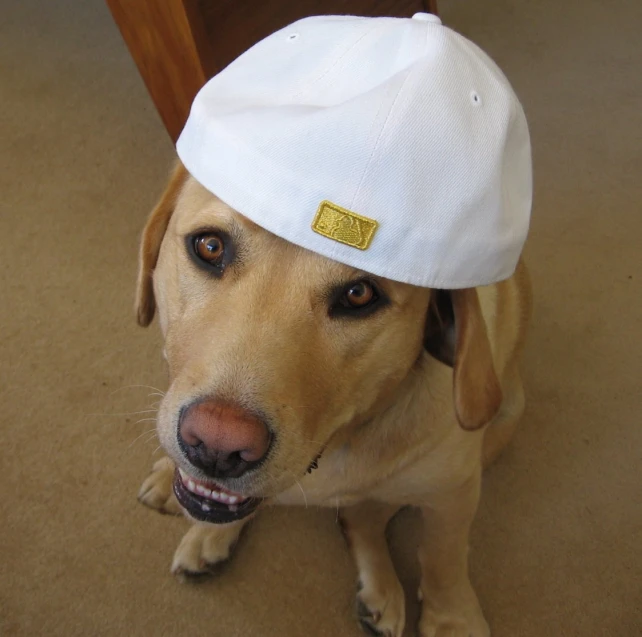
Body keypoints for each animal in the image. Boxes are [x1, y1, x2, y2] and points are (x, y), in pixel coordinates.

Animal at [135, 160, 528, 636]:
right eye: (210, 247)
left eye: (360, 294)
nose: (216, 445)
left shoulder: (454, 492)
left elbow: (443, 558)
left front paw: (453, 618)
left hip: (505, 419)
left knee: (362, 517)